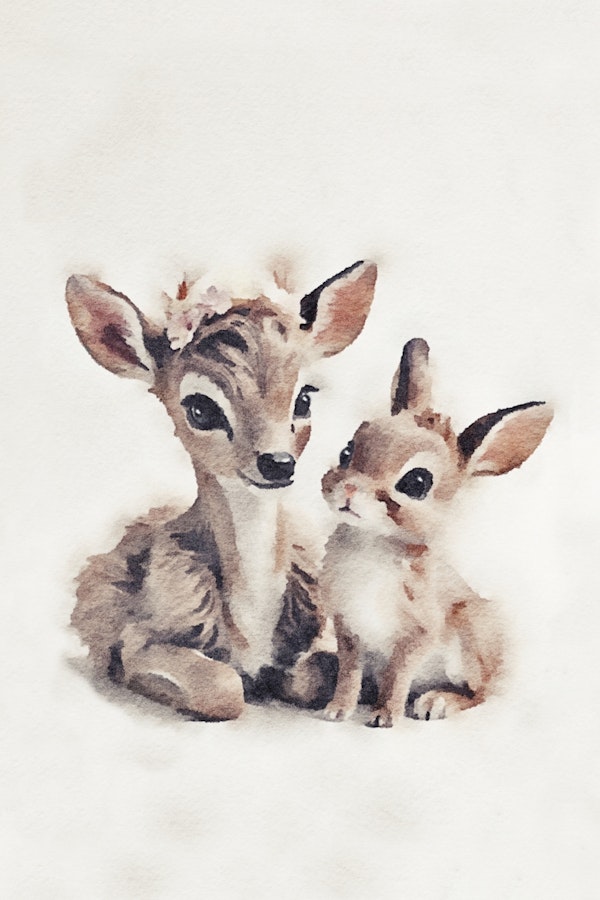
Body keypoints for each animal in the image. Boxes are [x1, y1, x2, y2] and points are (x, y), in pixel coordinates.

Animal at [66, 260, 377, 720]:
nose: (277, 462)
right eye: (199, 408)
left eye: (304, 397)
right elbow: (224, 687)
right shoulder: (138, 643)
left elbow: (314, 673)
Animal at [319, 337, 553, 727]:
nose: (349, 491)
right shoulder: (348, 627)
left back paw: (437, 703)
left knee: (478, 694)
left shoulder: (419, 633)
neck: (373, 541)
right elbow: (349, 672)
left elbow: (398, 674)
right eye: (347, 451)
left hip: (471, 636)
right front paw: (336, 711)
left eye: (416, 482)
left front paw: (384, 718)